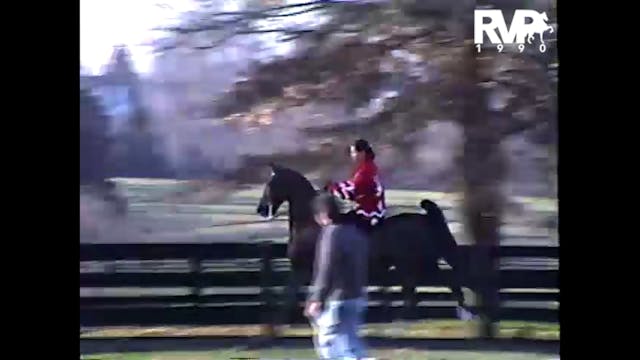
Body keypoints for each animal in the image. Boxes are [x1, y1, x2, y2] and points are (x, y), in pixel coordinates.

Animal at [255, 165, 470, 328]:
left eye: (270, 184)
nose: (261, 209)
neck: (312, 223)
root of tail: (424, 219)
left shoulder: (303, 269)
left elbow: (292, 295)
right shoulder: (304, 270)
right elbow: (294, 294)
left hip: (416, 264)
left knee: (437, 284)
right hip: (422, 264)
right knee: (434, 285)